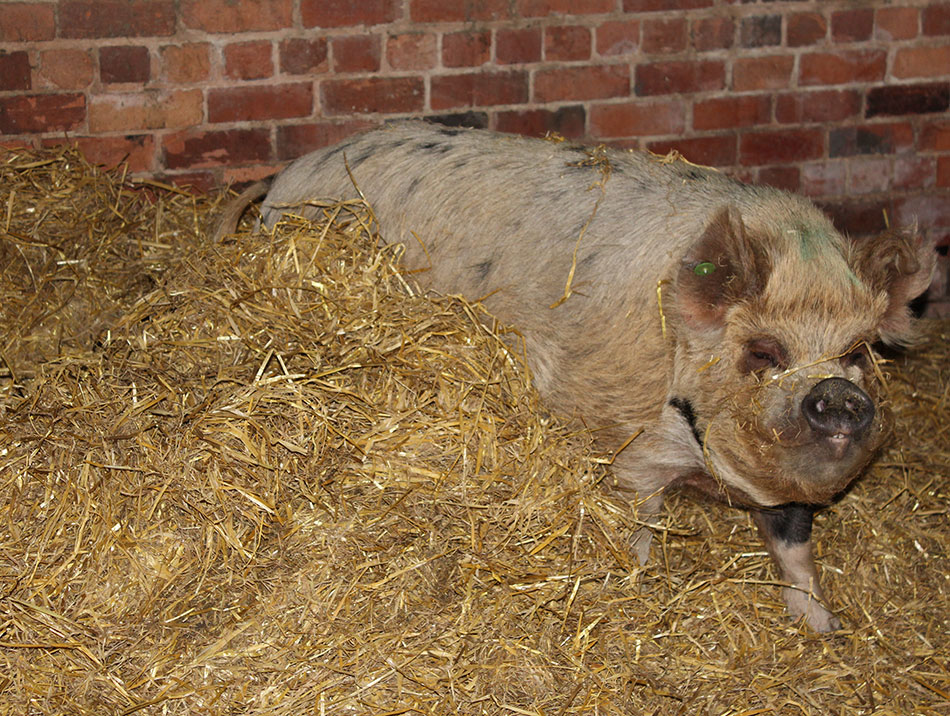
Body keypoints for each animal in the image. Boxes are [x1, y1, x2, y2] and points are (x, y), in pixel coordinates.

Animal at [215, 121, 936, 632]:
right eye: (764, 351)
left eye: (857, 351)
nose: (838, 396)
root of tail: (288, 176)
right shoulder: (630, 447)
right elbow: (639, 530)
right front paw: (634, 590)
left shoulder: (785, 490)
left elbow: (795, 548)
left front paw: (826, 629)